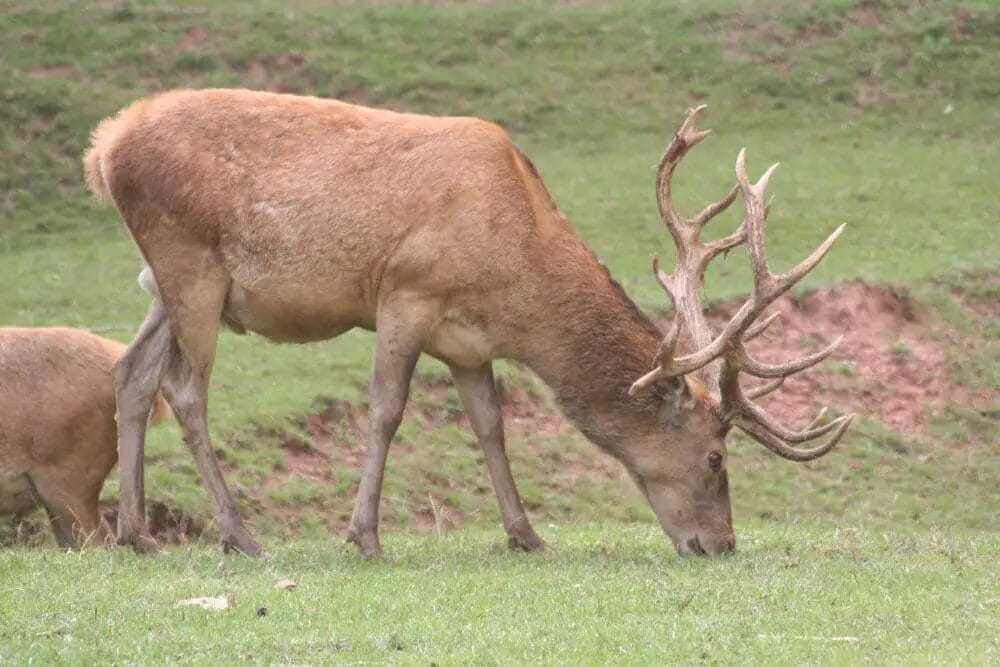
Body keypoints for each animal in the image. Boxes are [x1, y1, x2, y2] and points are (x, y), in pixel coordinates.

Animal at [83, 88, 853, 558]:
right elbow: (386, 411)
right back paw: (239, 534)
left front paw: (526, 533)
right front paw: (365, 537)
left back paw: (137, 533)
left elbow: (489, 423)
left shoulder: (467, 341)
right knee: (185, 389)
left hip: (168, 283)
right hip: (191, 263)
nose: (721, 543)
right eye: (717, 456)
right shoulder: (406, 292)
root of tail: (104, 148)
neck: (514, 280)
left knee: (131, 373)